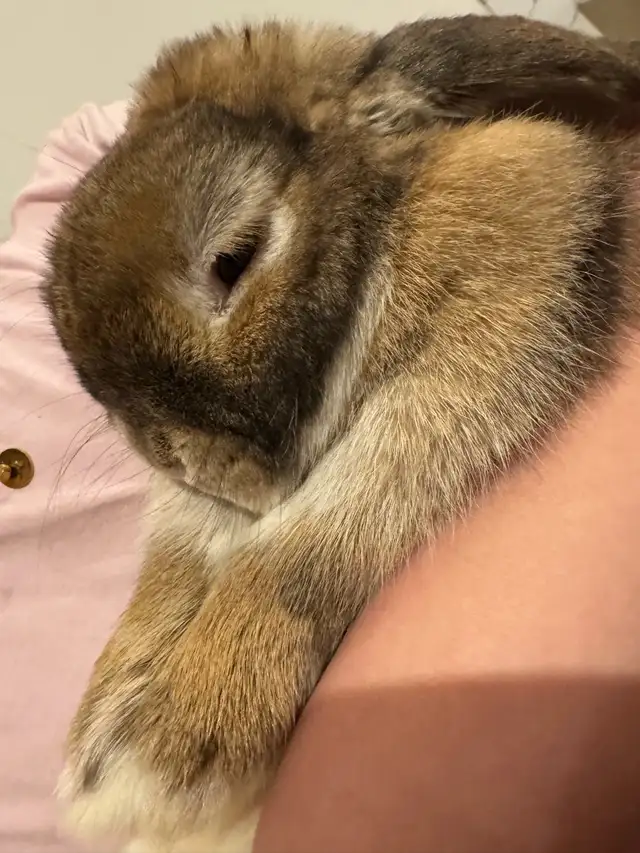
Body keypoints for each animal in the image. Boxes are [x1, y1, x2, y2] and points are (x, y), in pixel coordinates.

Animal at [42, 15, 640, 853]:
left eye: (234, 259)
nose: (170, 453)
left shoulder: (495, 323)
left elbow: (313, 533)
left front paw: (167, 744)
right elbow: (181, 550)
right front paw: (98, 747)